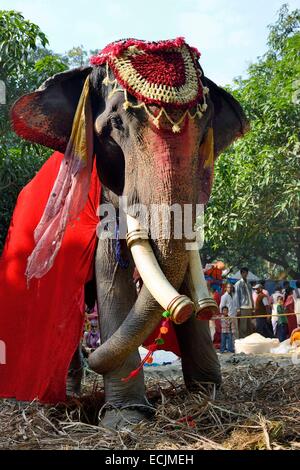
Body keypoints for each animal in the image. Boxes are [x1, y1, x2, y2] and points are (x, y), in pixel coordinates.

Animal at [0, 38, 248, 430]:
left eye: (205, 128)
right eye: (115, 124)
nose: (188, 308)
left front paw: (209, 394)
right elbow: (109, 272)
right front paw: (127, 418)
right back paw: (62, 396)